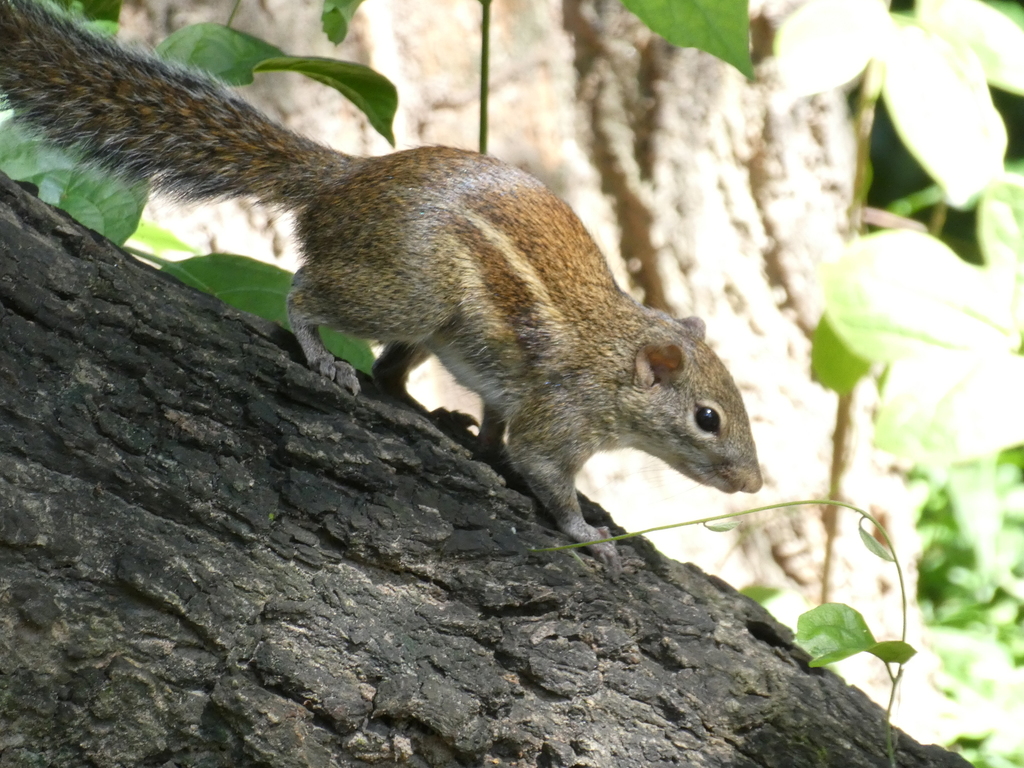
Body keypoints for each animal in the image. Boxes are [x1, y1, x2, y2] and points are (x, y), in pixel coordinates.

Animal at [0, 0, 762, 574]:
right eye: (708, 418)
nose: (753, 483)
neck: (612, 352)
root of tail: (343, 181)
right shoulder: (562, 414)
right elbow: (542, 468)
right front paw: (586, 533)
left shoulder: (515, 390)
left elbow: (501, 428)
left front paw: (487, 445)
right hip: (410, 293)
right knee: (306, 289)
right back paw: (323, 356)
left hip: (429, 322)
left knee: (392, 368)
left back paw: (427, 409)